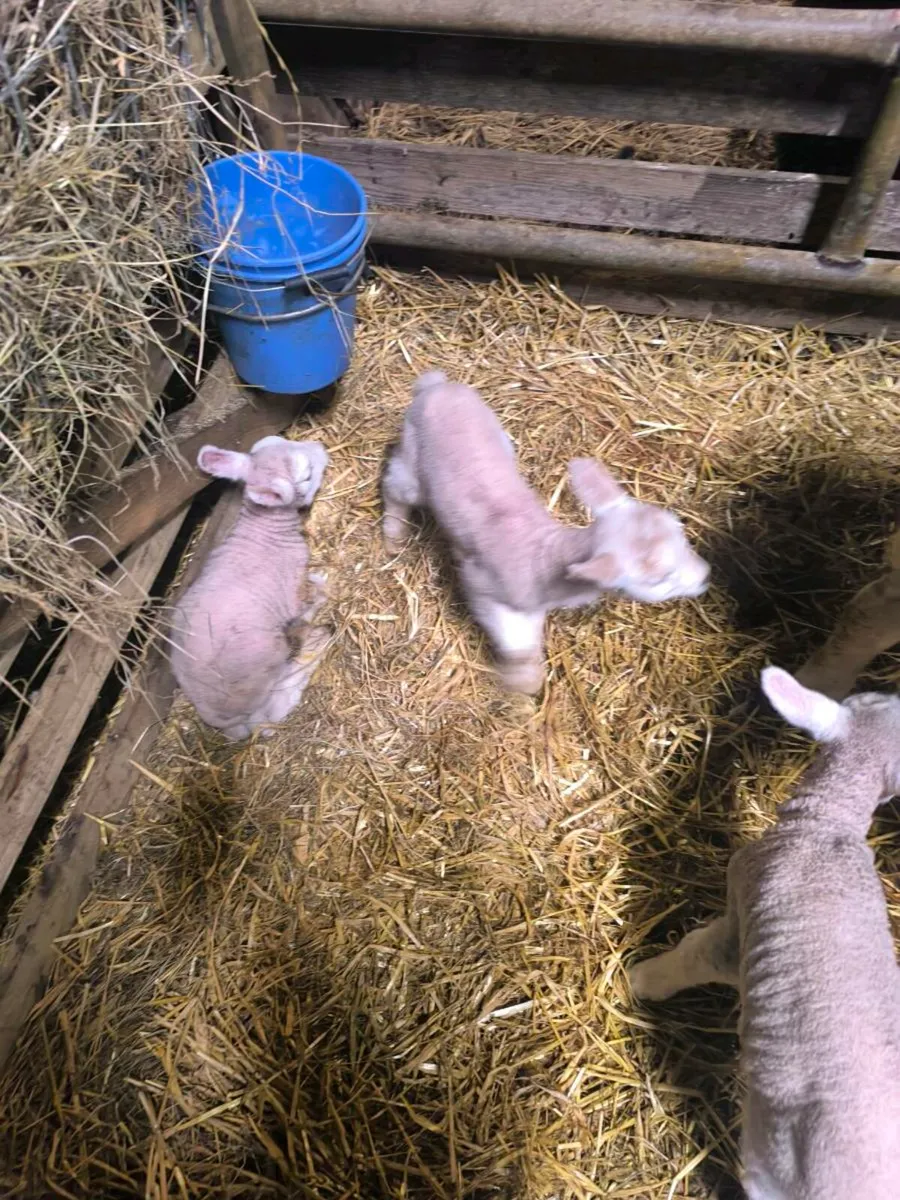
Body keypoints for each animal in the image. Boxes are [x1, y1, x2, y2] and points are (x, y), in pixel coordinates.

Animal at [170, 435, 331, 740]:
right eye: (306, 475)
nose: (322, 448)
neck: (264, 530)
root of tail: (223, 720)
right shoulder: (293, 591)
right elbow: (311, 599)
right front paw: (323, 586)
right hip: (269, 662)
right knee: (270, 716)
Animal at [382, 370, 710, 694]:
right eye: (660, 579)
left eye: (682, 536)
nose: (706, 576)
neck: (545, 557)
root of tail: (437, 385)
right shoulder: (485, 589)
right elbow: (516, 646)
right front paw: (521, 686)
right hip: (411, 459)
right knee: (395, 486)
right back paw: (393, 532)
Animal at [628, 667, 900, 1200]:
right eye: (880, 699)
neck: (828, 823)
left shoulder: (741, 911)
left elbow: (693, 955)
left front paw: (639, 980)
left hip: (768, 1160)